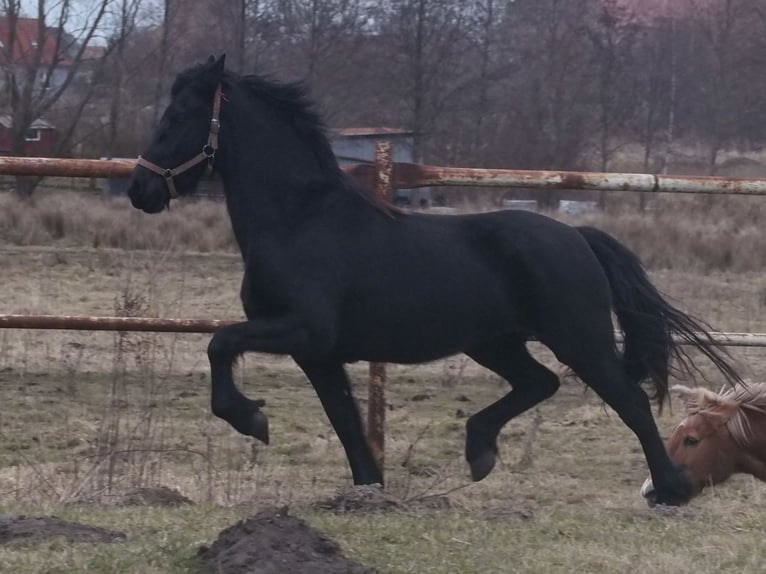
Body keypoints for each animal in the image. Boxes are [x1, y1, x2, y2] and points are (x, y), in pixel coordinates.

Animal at [127, 57, 744, 508]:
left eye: (177, 116)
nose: (140, 190)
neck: (299, 220)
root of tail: (578, 237)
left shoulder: (300, 330)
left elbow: (219, 342)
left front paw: (251, 418)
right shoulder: (318, 352)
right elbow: (345, 418)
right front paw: (369, 490)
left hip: (578, 338)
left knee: (628, 400)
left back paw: (669, 490)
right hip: (494, 342)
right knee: (539, 383)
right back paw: (479, 452)